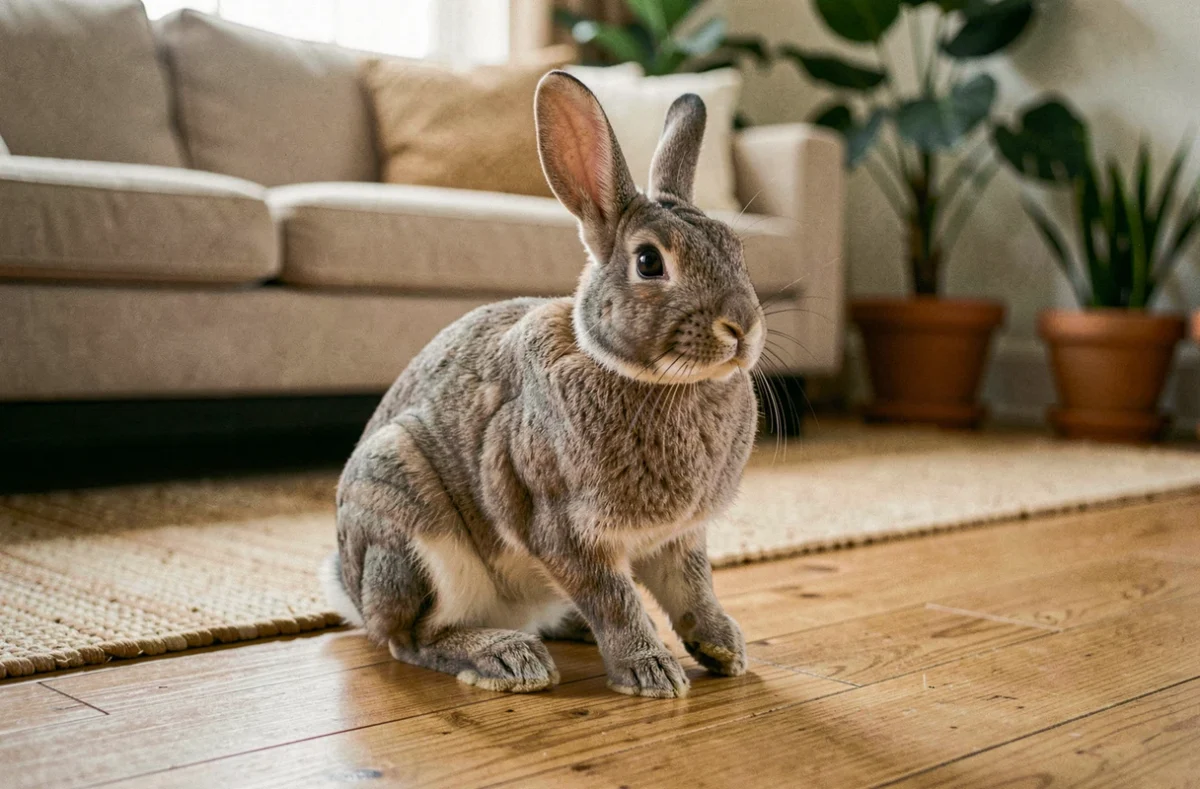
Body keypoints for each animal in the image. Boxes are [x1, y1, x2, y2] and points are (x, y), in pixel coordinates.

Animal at [321, 70, 765, 698]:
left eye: (736, 248)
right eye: (649, 262)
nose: (742, 328)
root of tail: (352, 592)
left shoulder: (678, 538)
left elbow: (694, 588)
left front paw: (723, 649)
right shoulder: (563, 527)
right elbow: (614, 600)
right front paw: (650, 672)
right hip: (408, 527)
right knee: (411, 639)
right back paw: (507, 658)